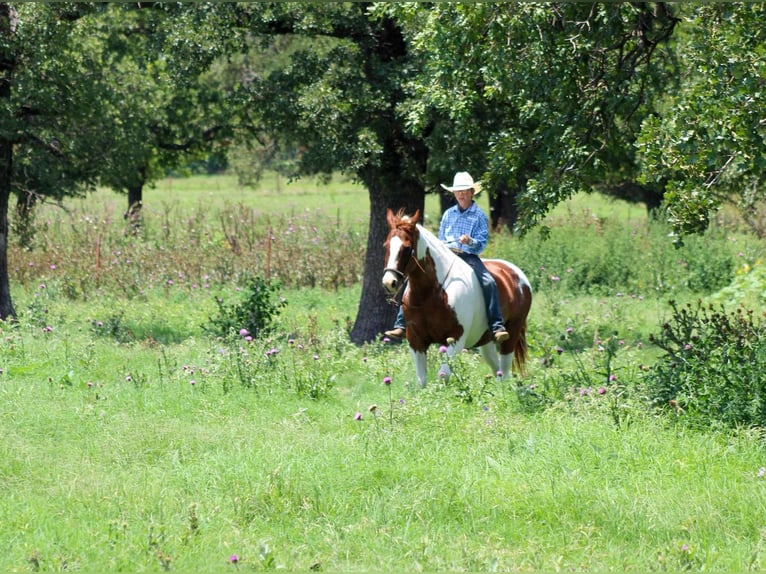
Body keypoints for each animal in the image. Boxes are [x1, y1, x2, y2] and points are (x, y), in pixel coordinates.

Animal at [382, 208, 532, 387]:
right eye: (386, 246)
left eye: (406, 248)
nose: (389, 282)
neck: (431, 295)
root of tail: (517, 274)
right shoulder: (415, 340)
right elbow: (421, 380)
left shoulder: (456, 338)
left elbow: (443, 375)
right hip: (486, 341)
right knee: (497, 369)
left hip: (512, 332)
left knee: (505, 370)